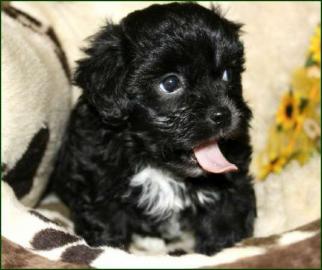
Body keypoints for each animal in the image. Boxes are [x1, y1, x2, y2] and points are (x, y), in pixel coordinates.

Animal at [51, 2, 256, 255]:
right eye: (170, 83)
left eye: (228, 73)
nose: (223, 115)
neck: (158, 165)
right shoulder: (97, 177)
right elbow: (105, 218)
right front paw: (111, 249)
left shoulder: (232, 182)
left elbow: (225, 217)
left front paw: (220, 248)